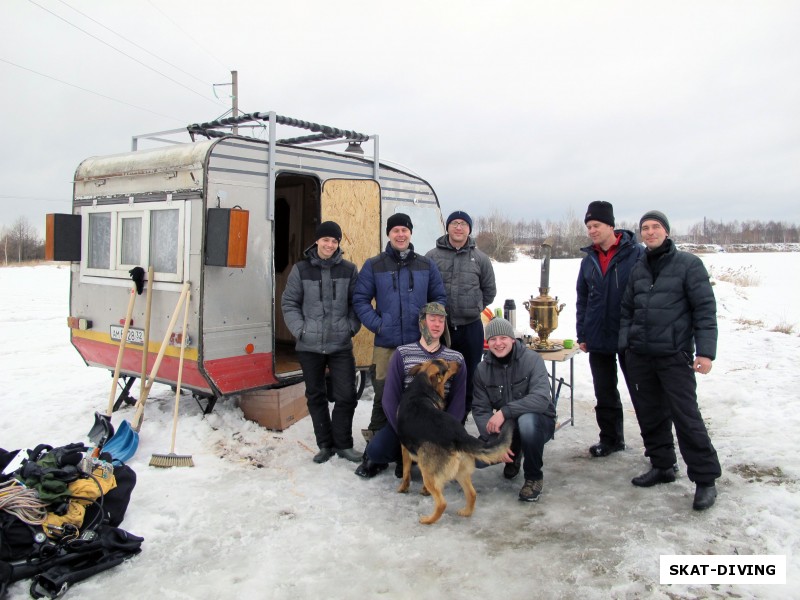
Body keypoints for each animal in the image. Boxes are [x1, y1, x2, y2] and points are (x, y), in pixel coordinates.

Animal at [398, 358, 512, 524]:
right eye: (446, 365)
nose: (460, 364)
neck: (421, 388)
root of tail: (459, 435)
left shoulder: (404, 448)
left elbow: (406, 472)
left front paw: (403, 488)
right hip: (461, 471)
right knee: (472, 494)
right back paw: (466, 512)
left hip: (429, 473)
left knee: (442, 503)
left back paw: (428, 520)